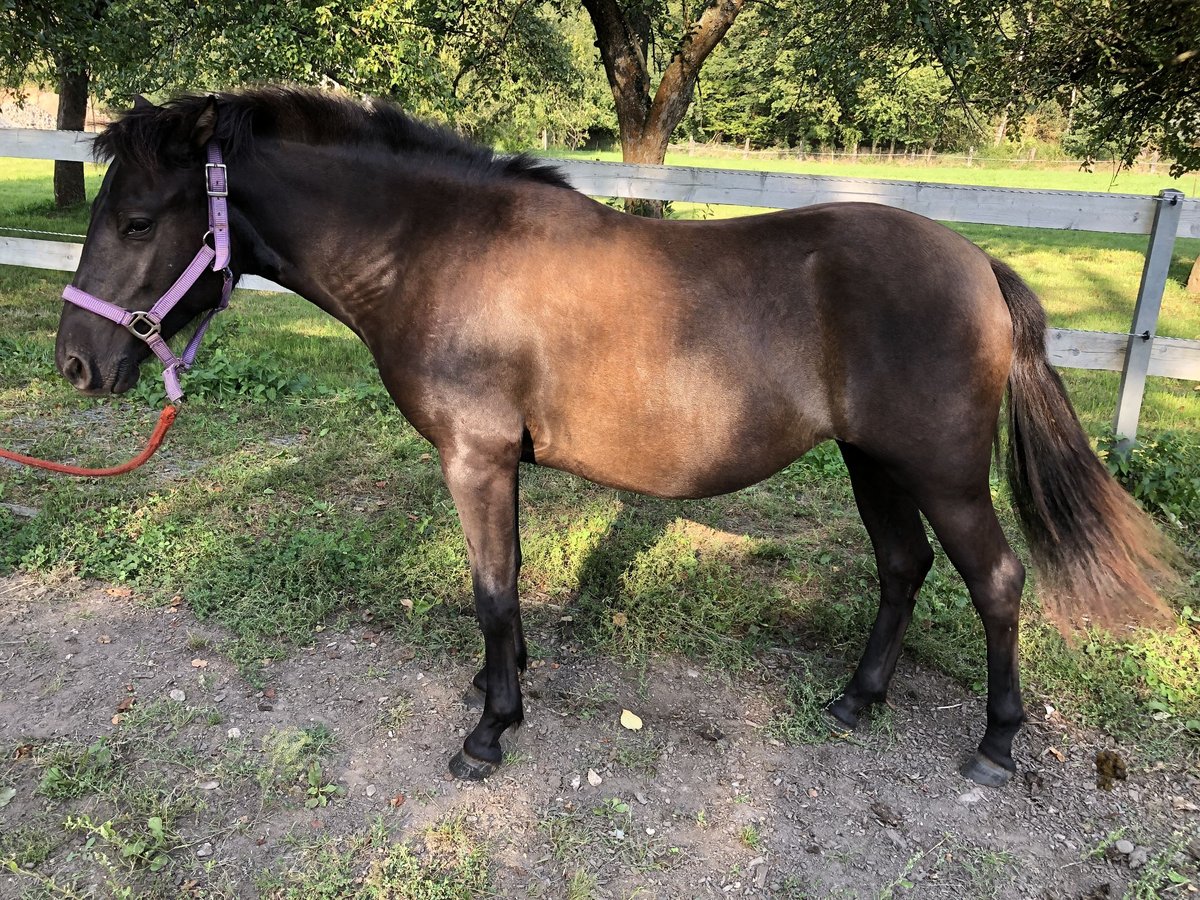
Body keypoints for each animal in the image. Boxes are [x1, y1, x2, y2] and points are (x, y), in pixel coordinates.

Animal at [54, 88, 1171, 787]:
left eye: (141, 220)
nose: (75, 364)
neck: (442, 251)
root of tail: (976, 261)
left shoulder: (474, 457)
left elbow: (490, 589)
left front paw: (488, 733)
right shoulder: (499, 464)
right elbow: (504, 588)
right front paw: (502, 689)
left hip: (940, 472)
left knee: (996, 581)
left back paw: (995, 743)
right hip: (875, 463)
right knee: (903, 568)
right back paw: (856, 702)